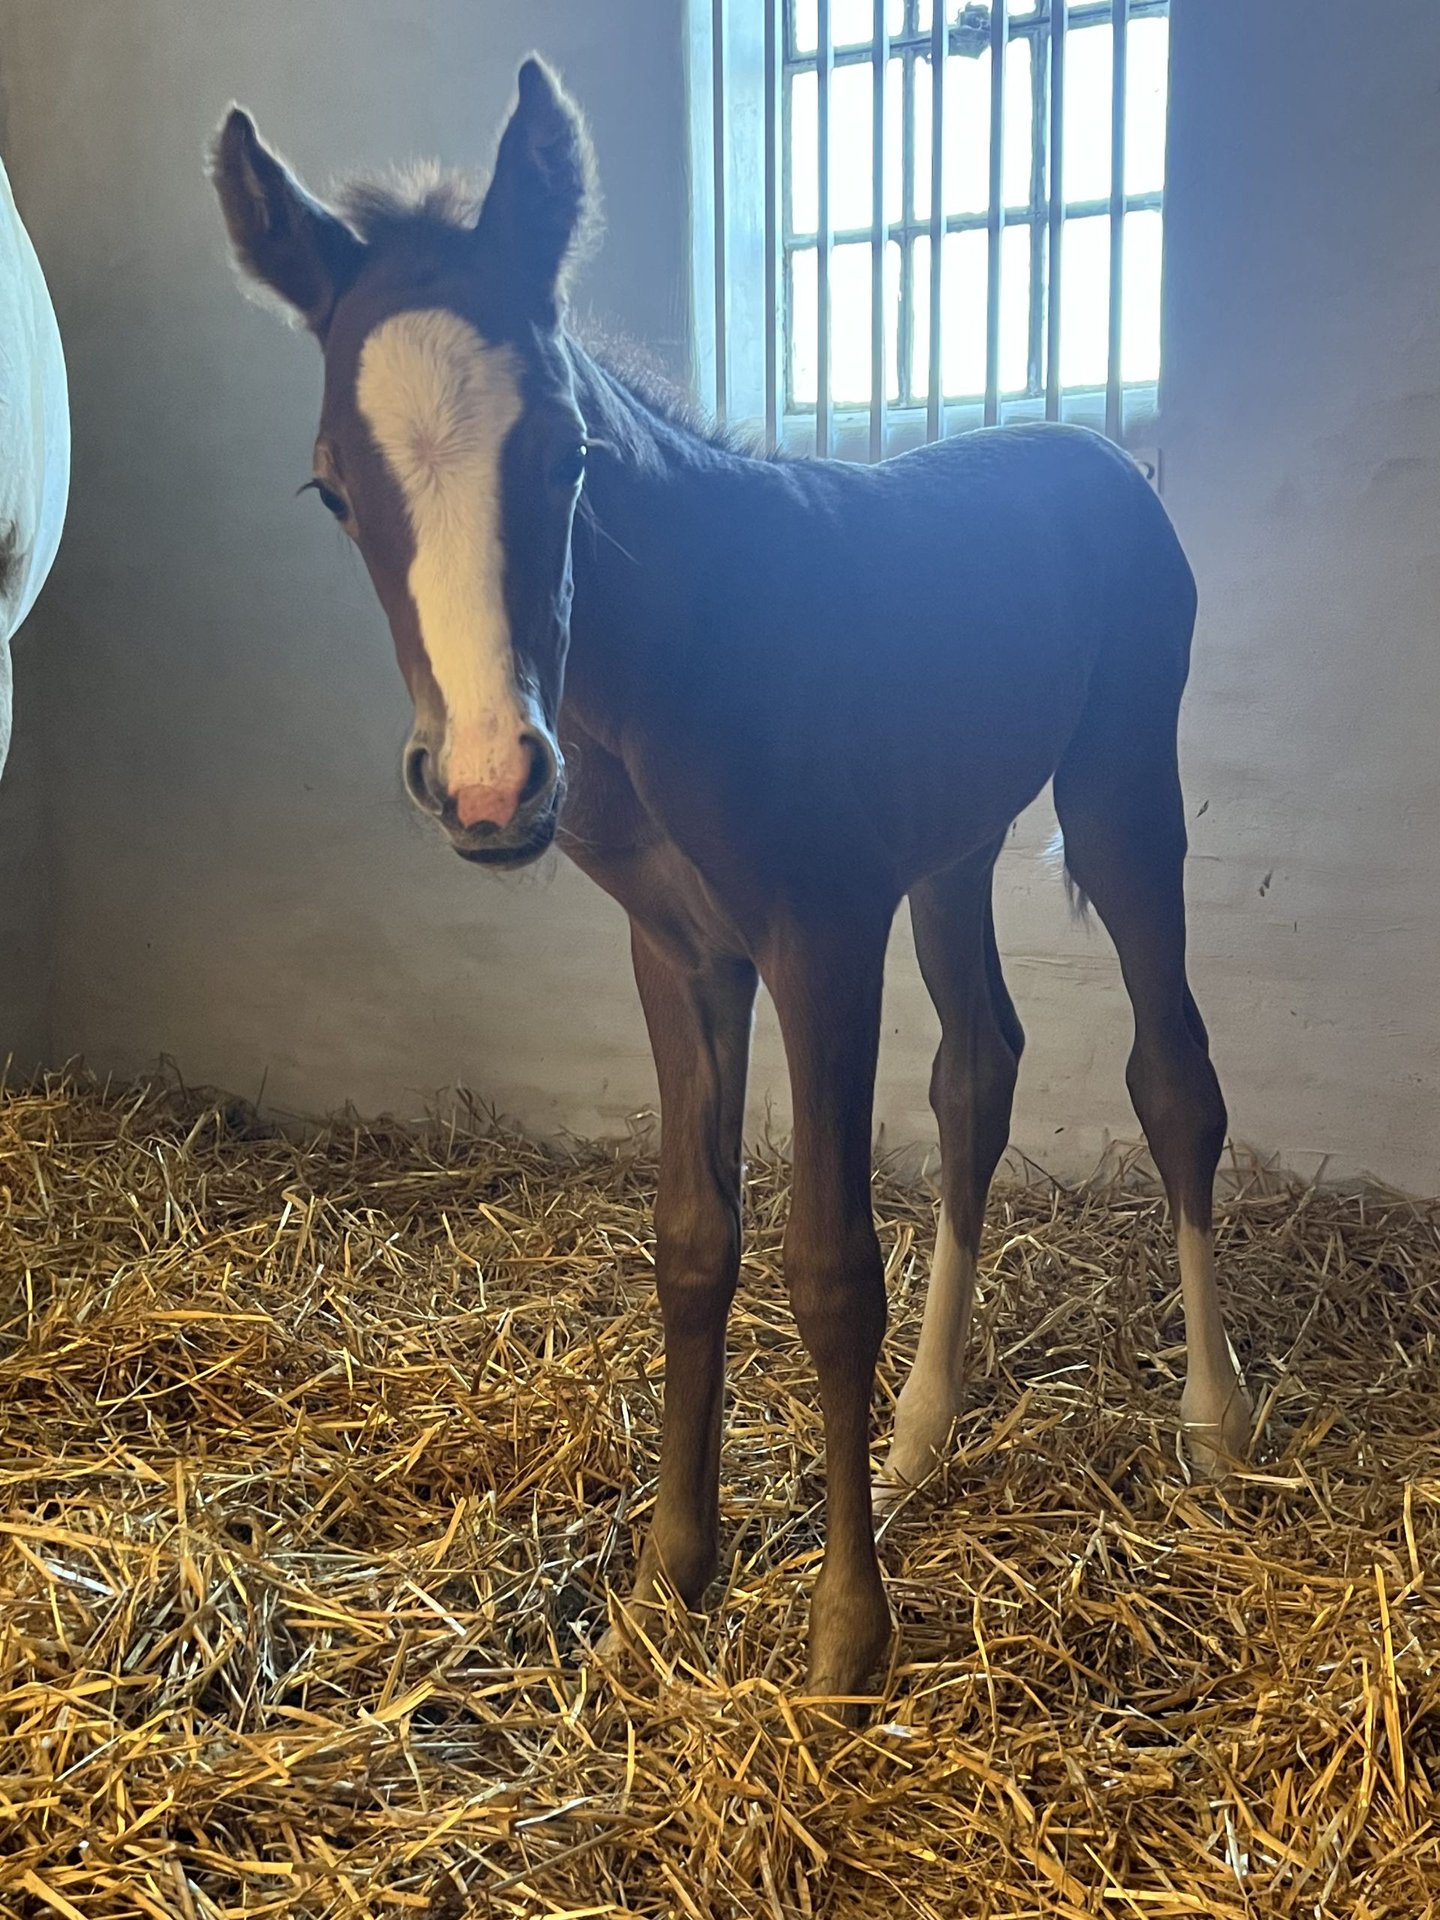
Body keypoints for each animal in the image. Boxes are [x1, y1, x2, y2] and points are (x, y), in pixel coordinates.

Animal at [211, 63, 1251, 1697]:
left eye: (570, 455)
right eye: (329, 491)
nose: (493, 784)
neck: (686, 654)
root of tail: (1089, 449)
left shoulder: (820, 932)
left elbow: (829, 1265)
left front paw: (845, 1638)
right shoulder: (681, 949)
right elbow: (695, 1240)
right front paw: (671, 1575)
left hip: (1120, 791)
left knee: (1172, 1077)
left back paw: (1212, 1423)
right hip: (949, 851)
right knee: (980, 1073)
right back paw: (922, 1432)